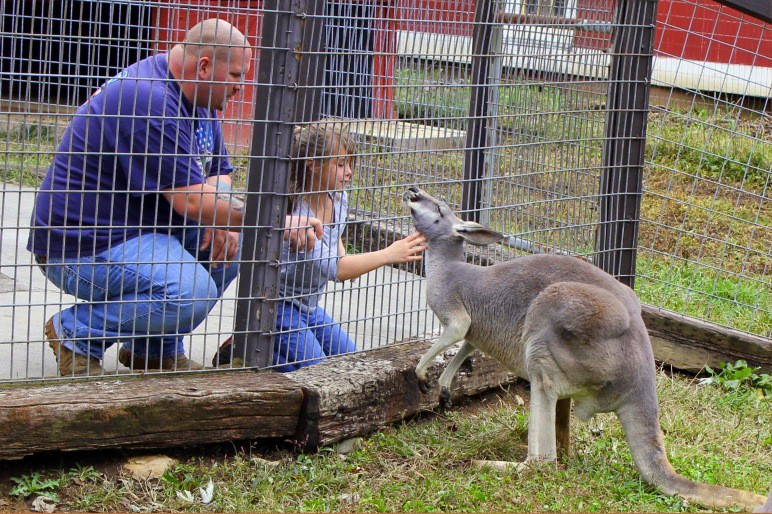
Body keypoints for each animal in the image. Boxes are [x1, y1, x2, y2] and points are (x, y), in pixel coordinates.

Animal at [403, 185, 766, 511]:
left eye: (438, 208)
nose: (413, 190)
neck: (448, 264)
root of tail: (641, 374)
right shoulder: (475, 331)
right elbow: (464, 345)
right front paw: (444, 386)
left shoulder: (455, 310)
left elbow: (454, 333)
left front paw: (421, 375)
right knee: (559, 440)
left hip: (556, 321)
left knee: (544, 458)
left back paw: (494, 465)